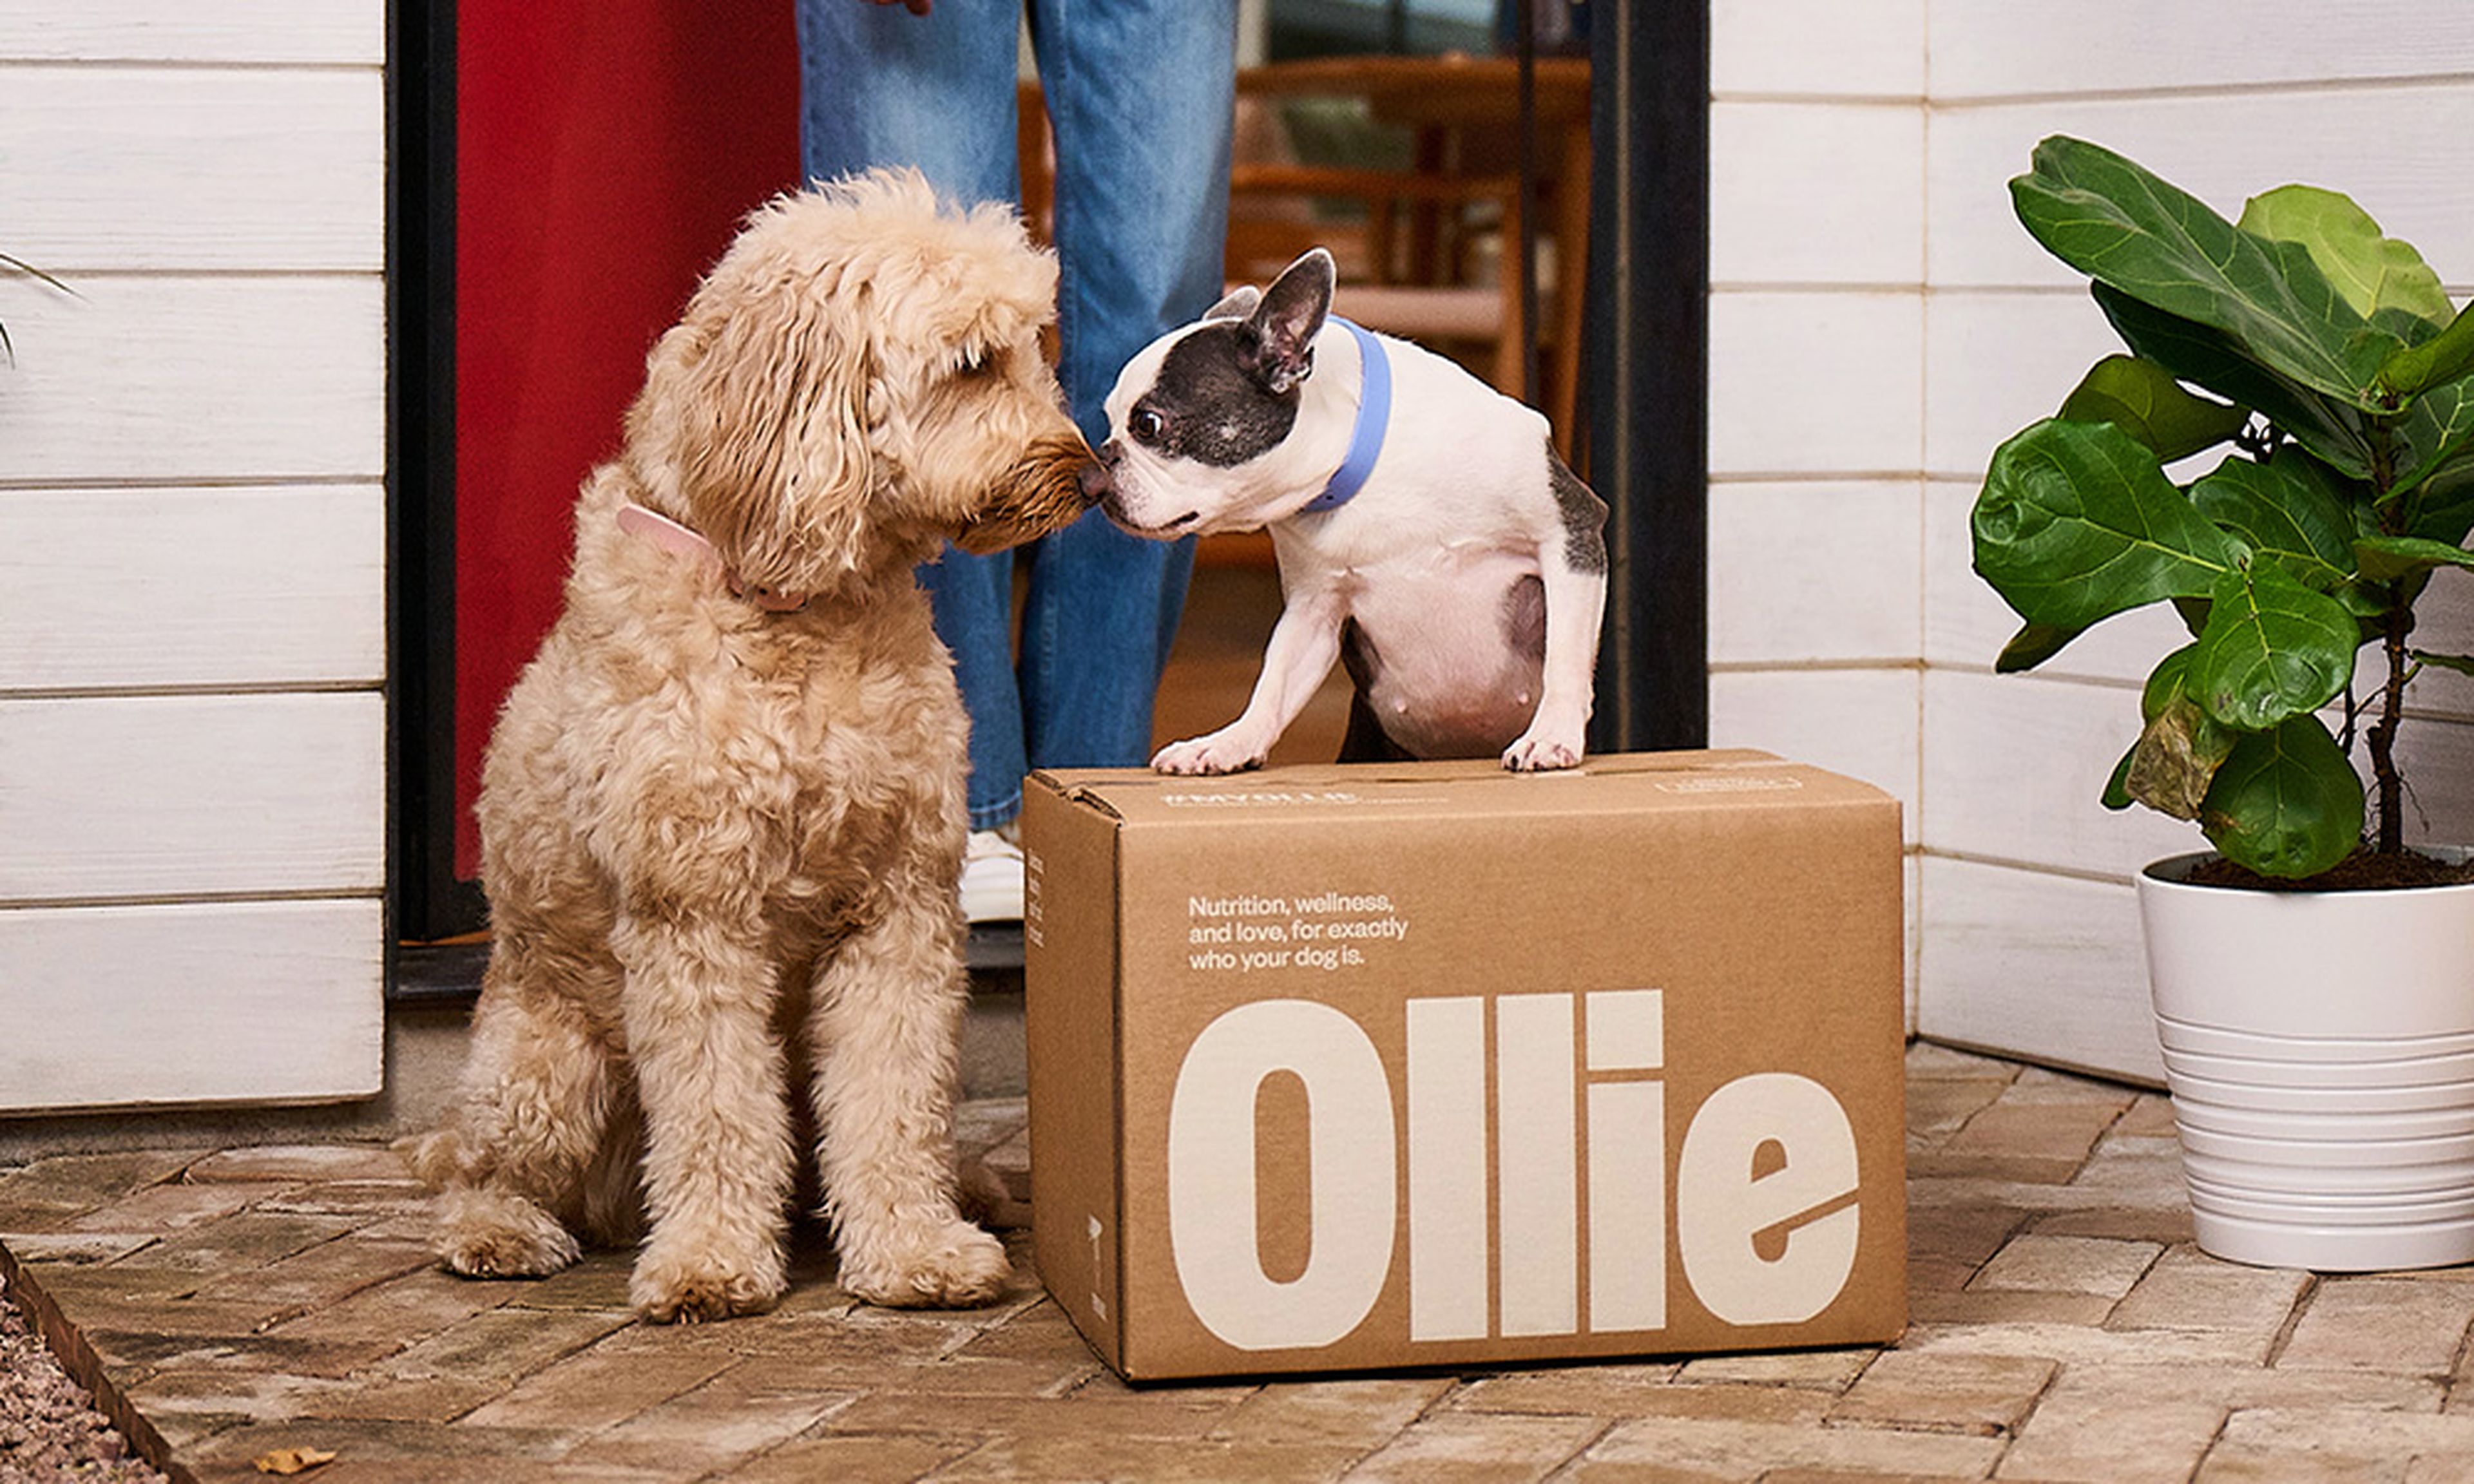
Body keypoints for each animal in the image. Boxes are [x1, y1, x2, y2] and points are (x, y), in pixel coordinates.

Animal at [405, 170, 1093, 1326]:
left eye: (1035, 347)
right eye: (971, 364)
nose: (1088, 475)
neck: (797, 614)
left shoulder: (899, 905)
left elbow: (894, 1096)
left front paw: (913, 1247)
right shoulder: (695, 917)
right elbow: (718, 1109)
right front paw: (711, 1263)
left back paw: (968, 1188)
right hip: (544, 1063)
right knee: (482, 1165)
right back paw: (502, 1230)